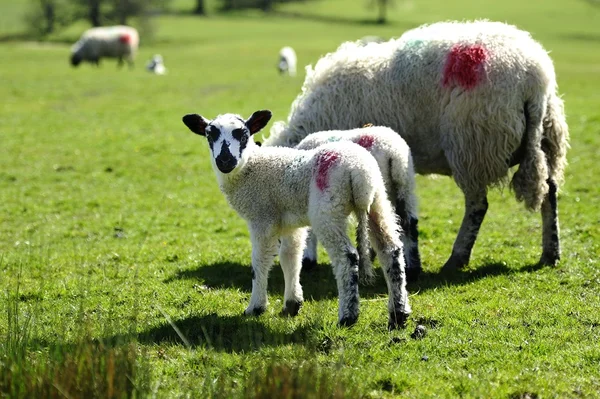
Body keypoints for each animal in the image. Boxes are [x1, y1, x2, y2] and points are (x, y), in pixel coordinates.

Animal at [296, 125, 422, 282]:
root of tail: (394, 154)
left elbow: (309, 230)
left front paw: (308, 260)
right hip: (405, 186)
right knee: (409, 223)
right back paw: (413, 270)